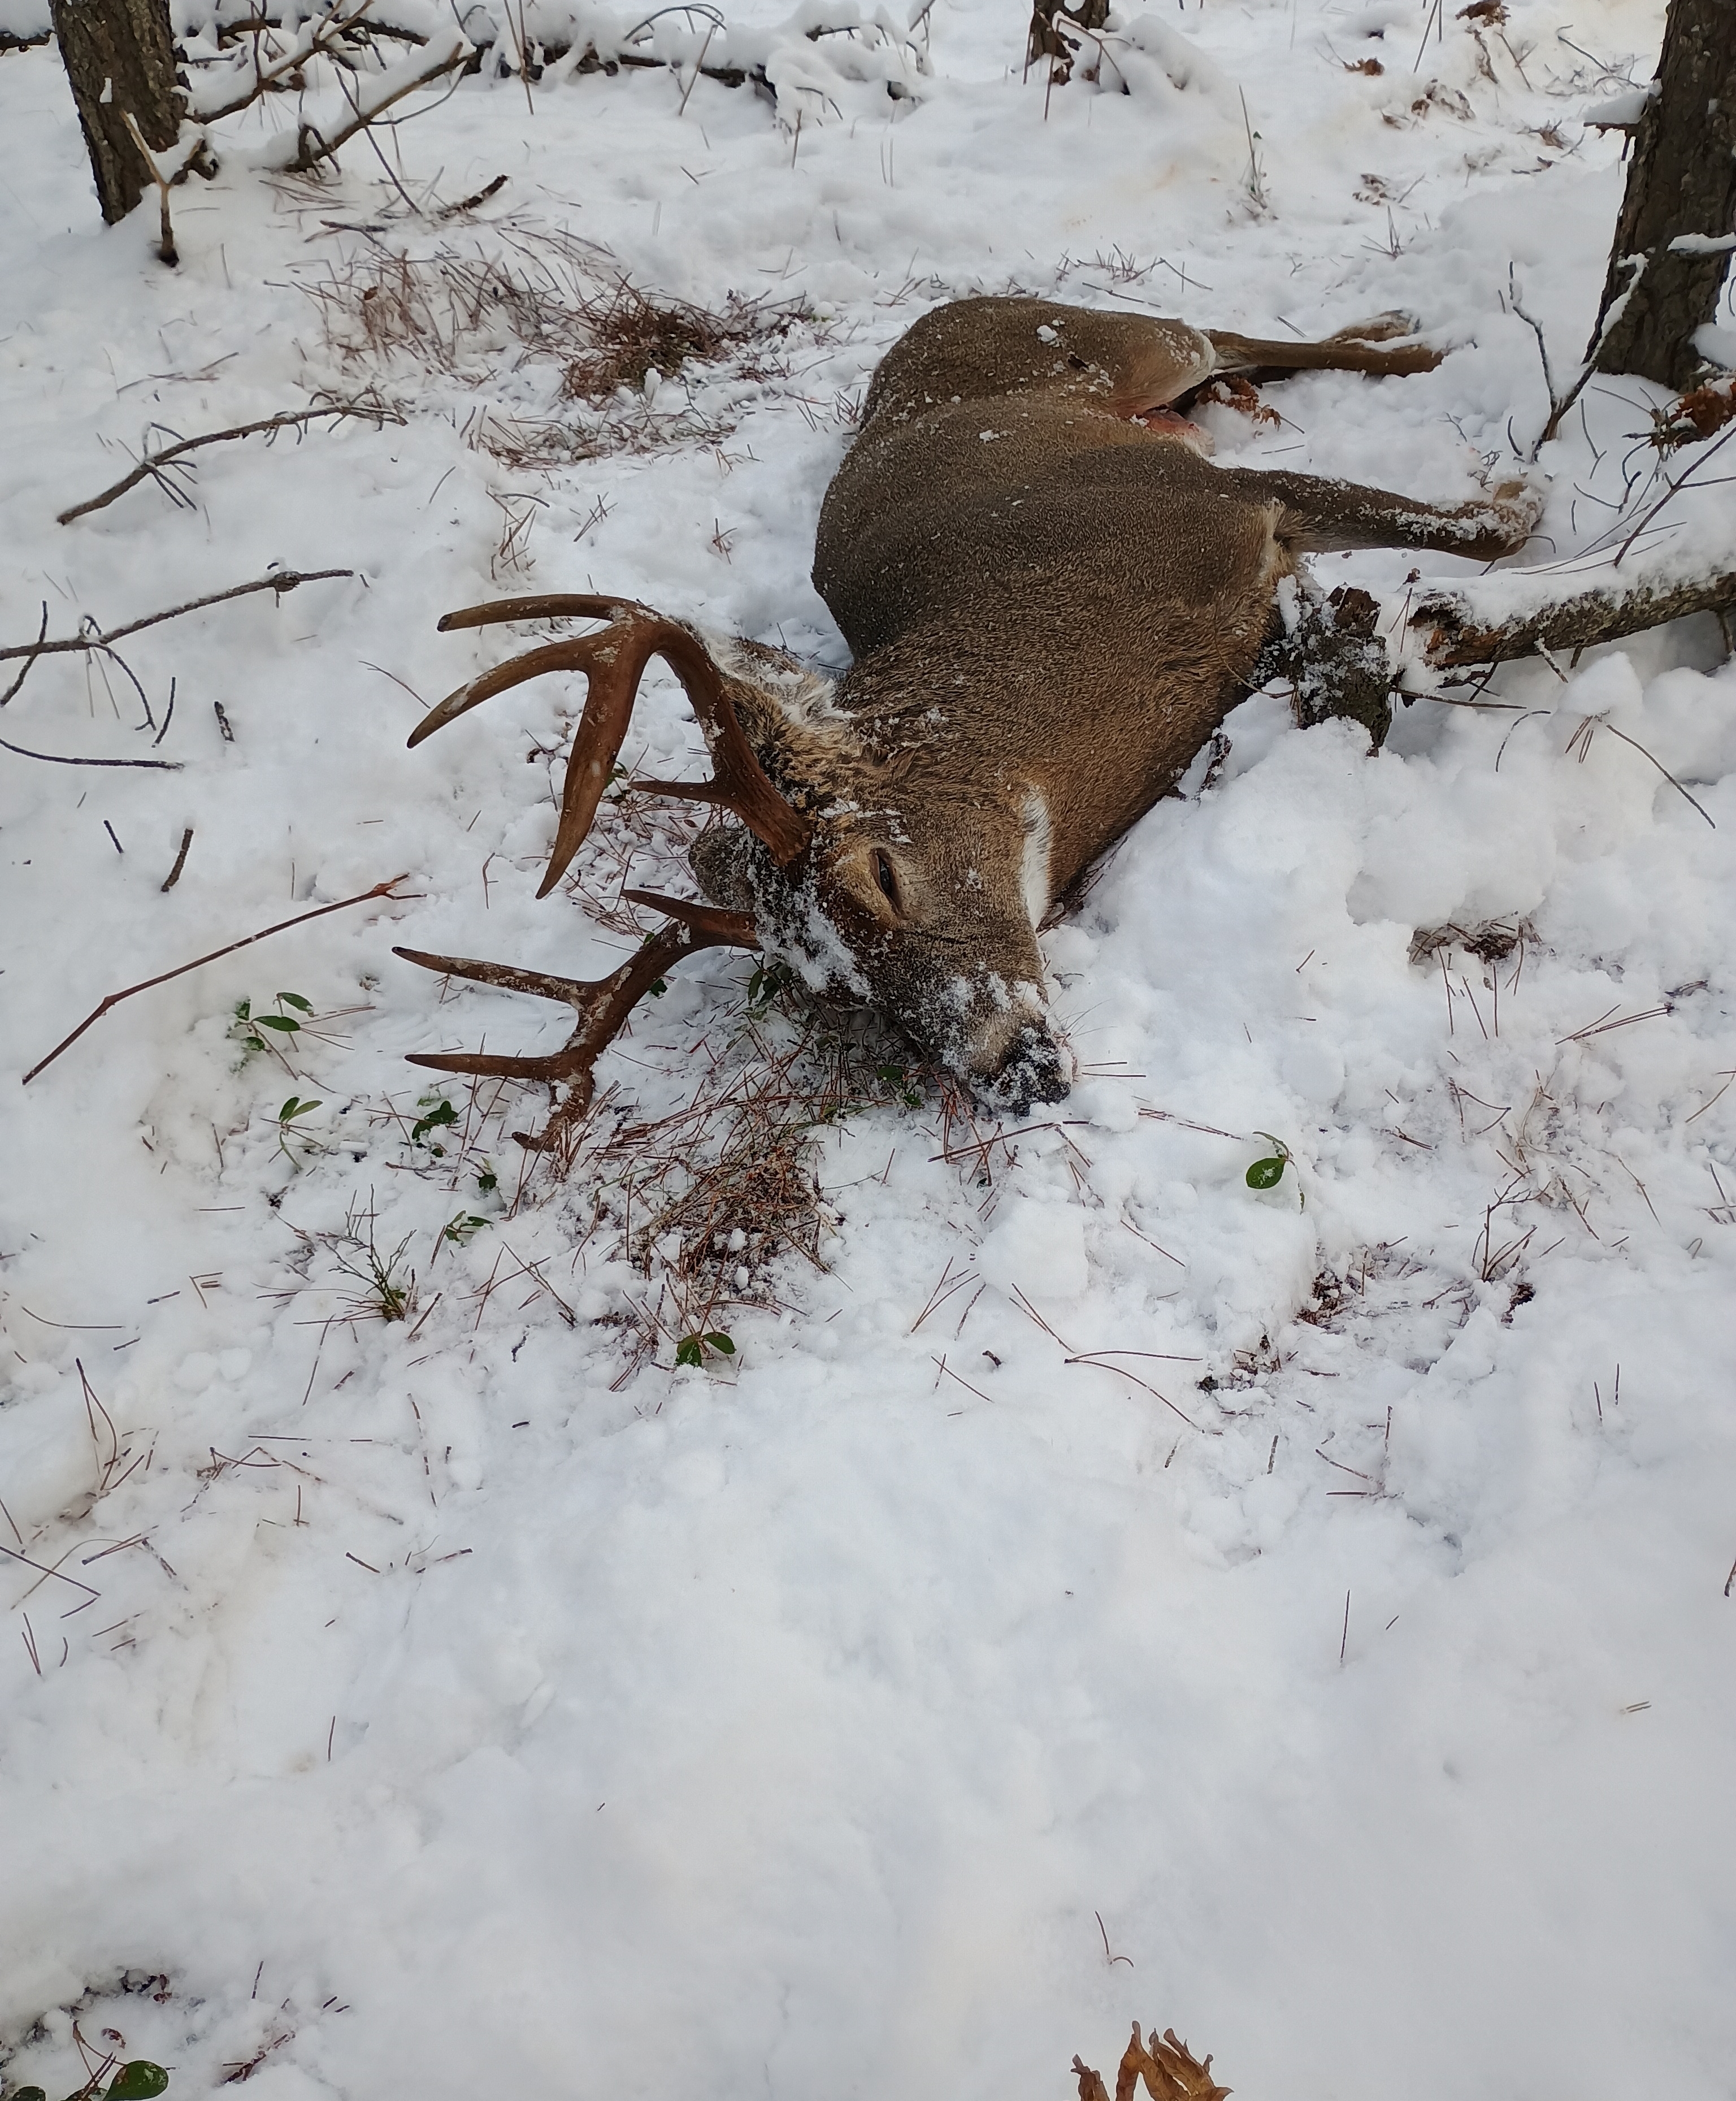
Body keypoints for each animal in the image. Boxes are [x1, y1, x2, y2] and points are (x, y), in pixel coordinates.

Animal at [393, 289, 1530, 1143]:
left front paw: (1521, 489)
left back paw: (1418, 336)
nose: (1013, 1072)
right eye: (838, 988)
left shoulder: (1216, 505)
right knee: (1232, 360)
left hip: (1117, 343)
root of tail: (939, 313)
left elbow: (1485, 536)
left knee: (1218, 328)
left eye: (880, 875)